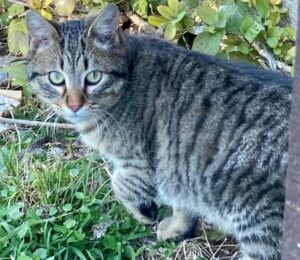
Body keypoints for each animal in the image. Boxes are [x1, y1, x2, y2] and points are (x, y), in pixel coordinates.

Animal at [25, 4, 292, 260]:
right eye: (56, 78)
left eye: (94, 76)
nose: (74, 105)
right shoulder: (181, 168)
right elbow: (182, 201)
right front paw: (177, 228)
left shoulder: (141, 162)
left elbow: (120, 183)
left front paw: (144, 210)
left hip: (261, 225)